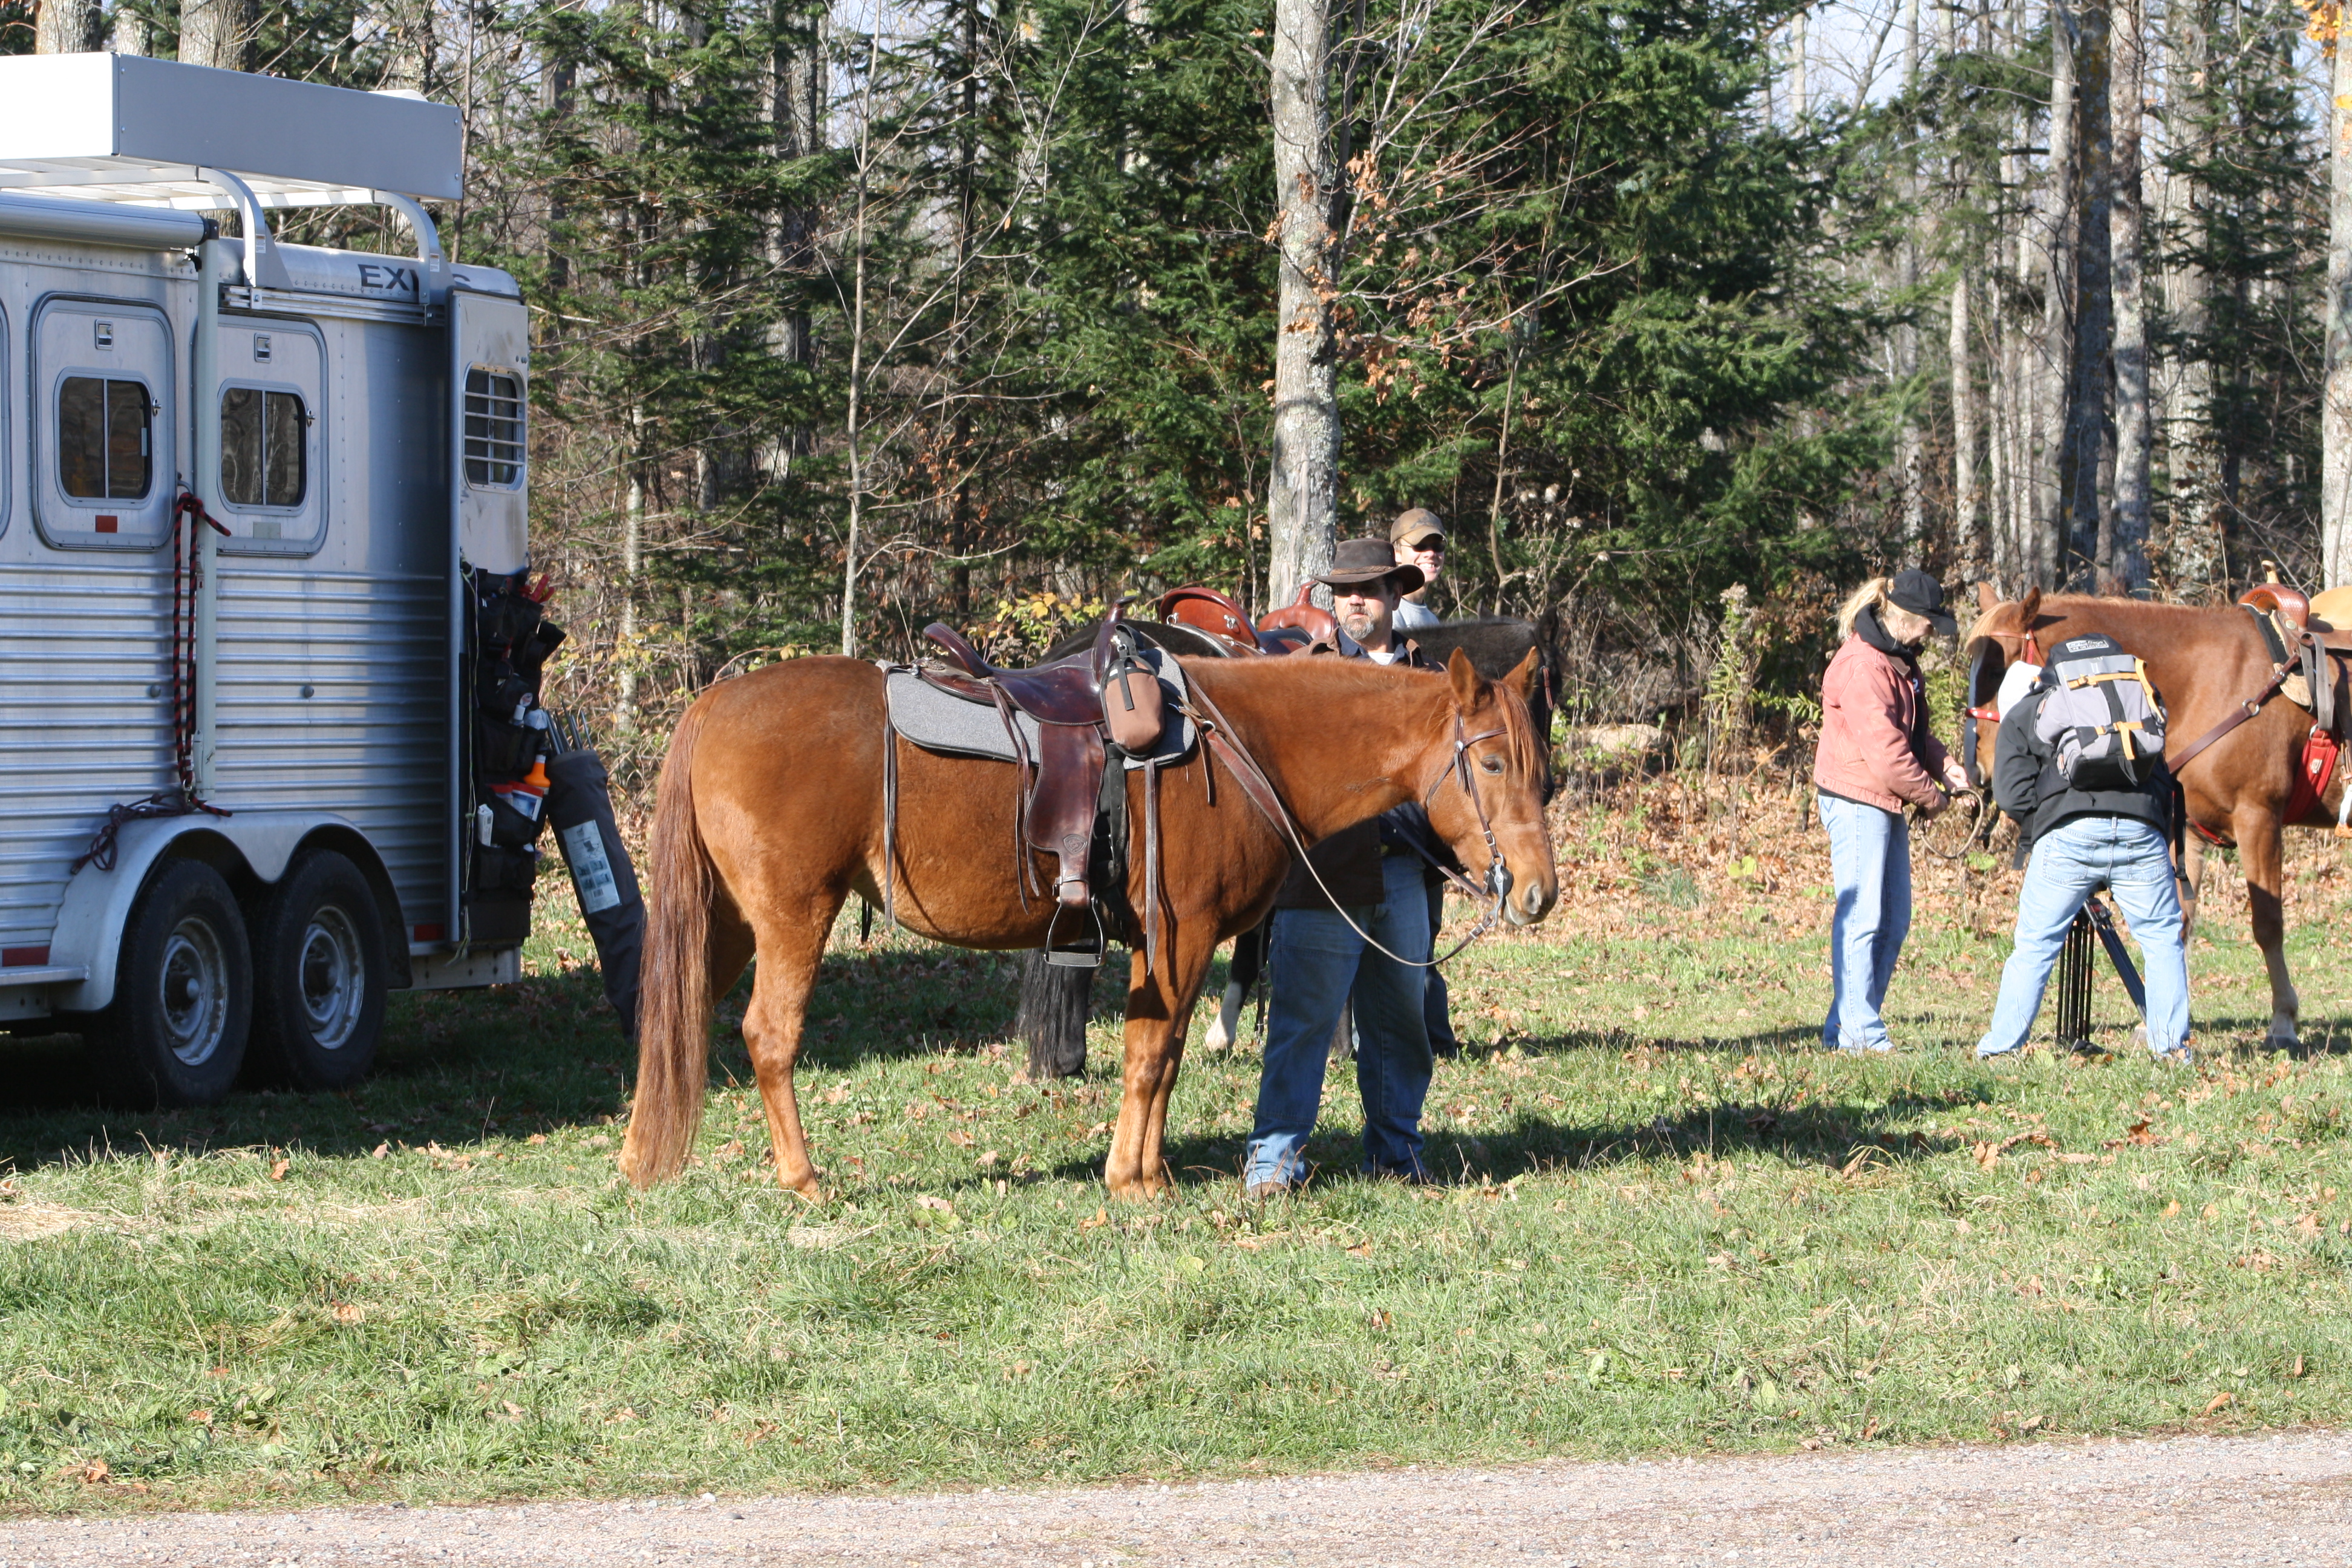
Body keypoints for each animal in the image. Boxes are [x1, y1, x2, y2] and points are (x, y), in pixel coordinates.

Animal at [618, 647, 1559, 1199]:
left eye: (1542, 769)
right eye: (1494, 764)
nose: (1539, 892)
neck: (1242, 744)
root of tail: (714, 706)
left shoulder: (1174, 947)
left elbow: (1163, 1061)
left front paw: (1148, 1173)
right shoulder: (1181, 936)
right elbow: (1150, 1059)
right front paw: (1133, 1183)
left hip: (728, 925)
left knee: (675, 1024)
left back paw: (639, 1159)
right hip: (791, 917)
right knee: (768, 1038)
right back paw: (804, 1180)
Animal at [1964, 585, 2349, 1046]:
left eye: (1995, 670)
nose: (1975, 769)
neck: (2210, 681)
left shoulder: (2259, 819)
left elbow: (2268, 925)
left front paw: (2283, 1022)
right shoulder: (2186, 831)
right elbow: (2175, 923)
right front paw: (2159, 1021)